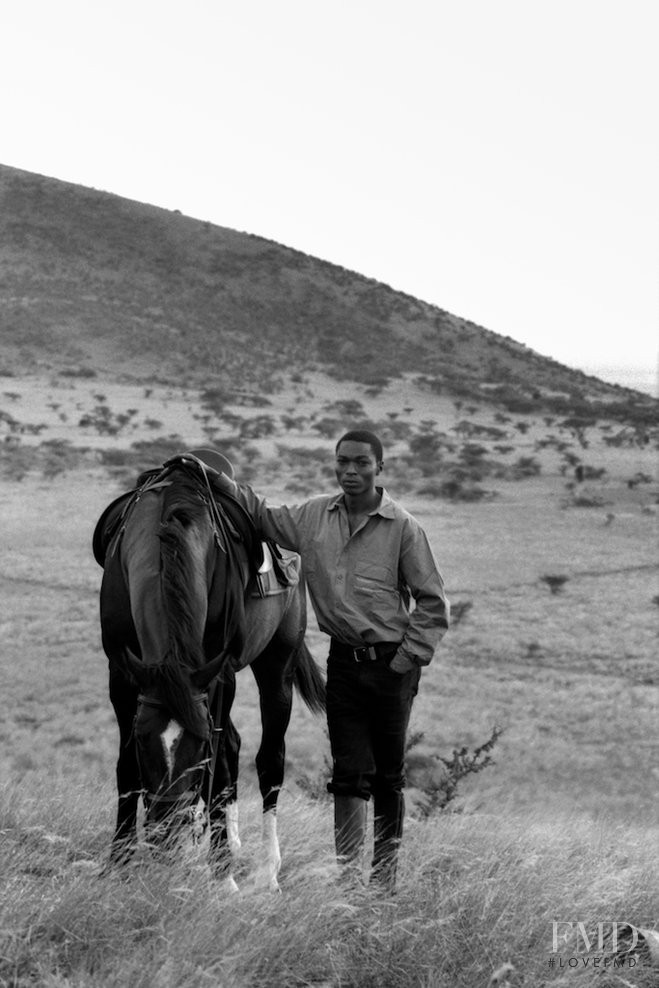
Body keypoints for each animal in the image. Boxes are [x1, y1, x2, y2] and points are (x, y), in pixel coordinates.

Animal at [93, 448, 328, 888]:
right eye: (143, 740)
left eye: (198, 745)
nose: (168, 832)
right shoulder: (122, 673)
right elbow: (125, 766)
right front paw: (118, 861)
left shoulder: (219, 673)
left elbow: (218, 766)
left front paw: (222, 876)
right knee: (234, 747)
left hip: (277, 669)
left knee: (268, 760)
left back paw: (266, 871)